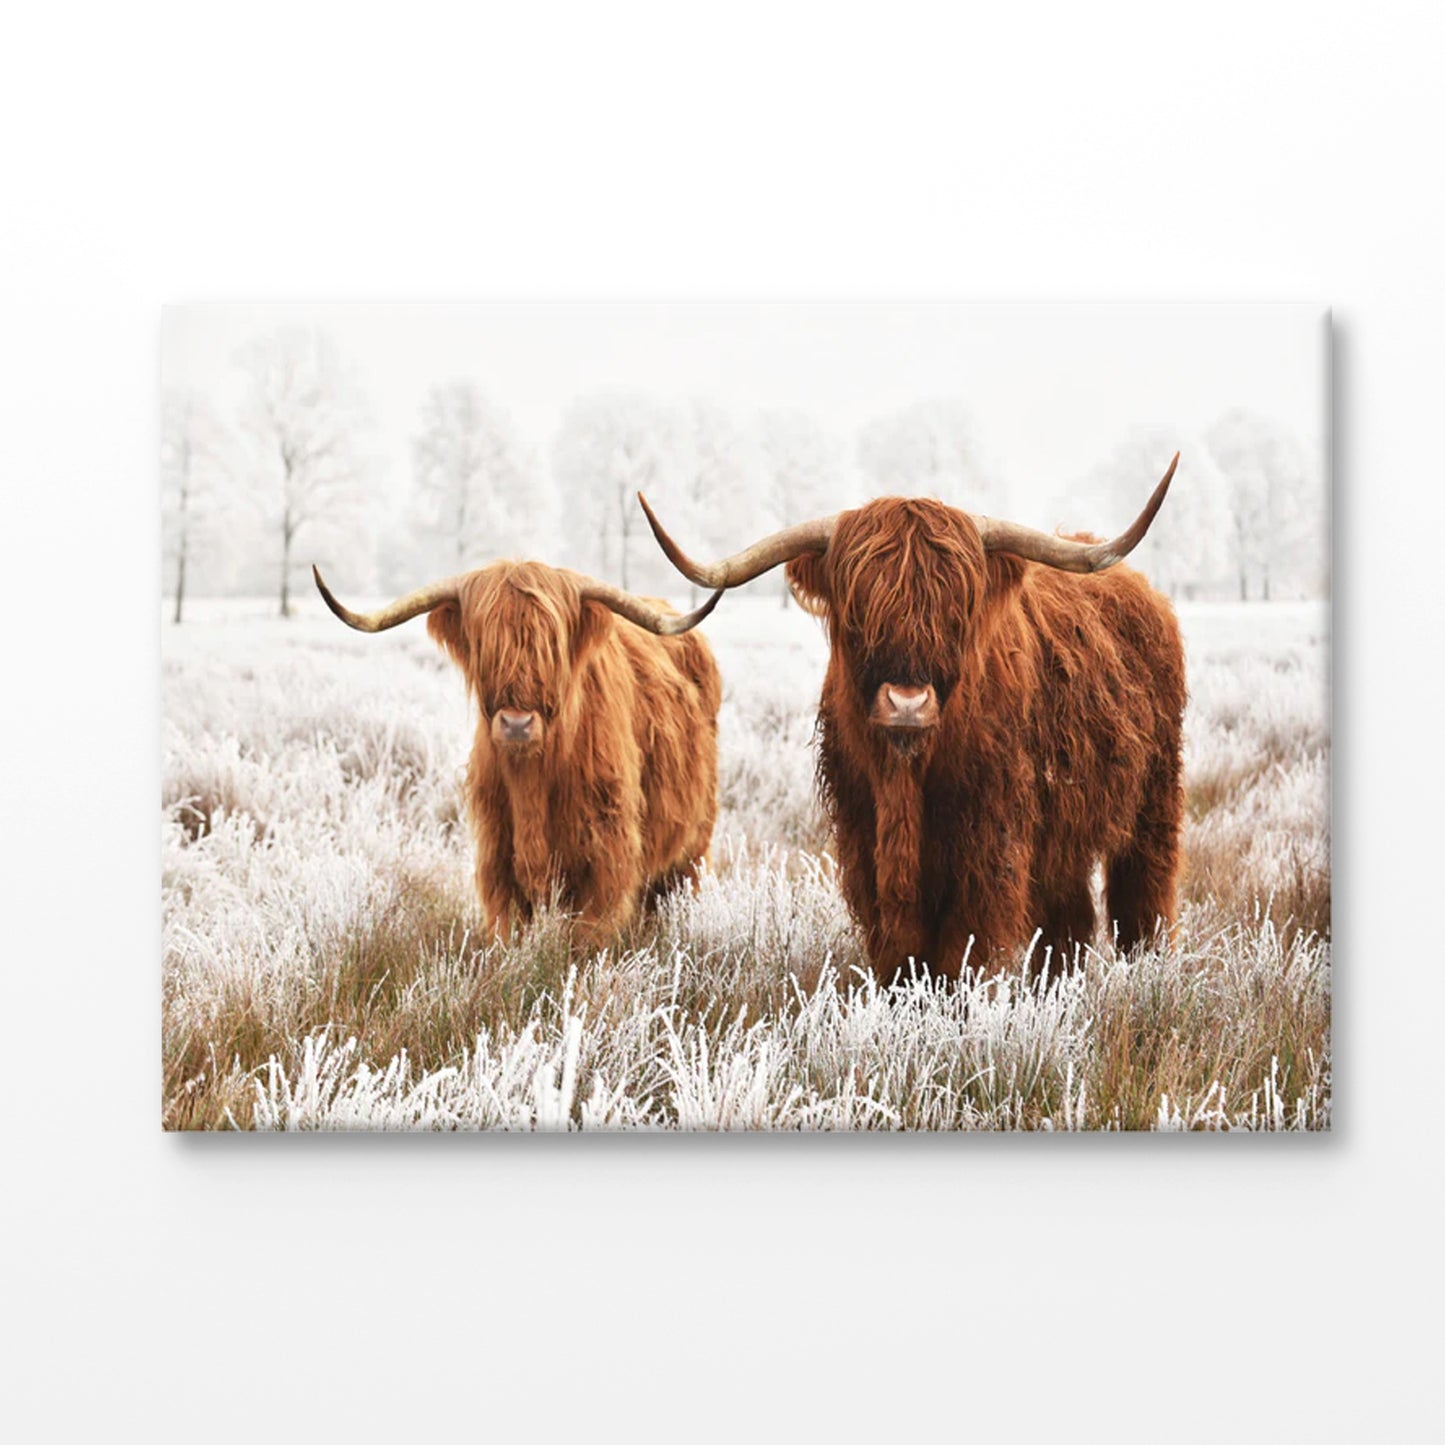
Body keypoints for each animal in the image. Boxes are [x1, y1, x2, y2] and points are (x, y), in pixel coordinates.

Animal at [313, 561, 724, 947]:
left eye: (552, 645)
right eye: (485, 643)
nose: (516, 724)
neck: (533, 779)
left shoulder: (607, 857)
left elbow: (588, 938)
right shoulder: (497, 857)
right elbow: (508, 933)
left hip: (693, 845)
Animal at [638, 456, 1186, 984]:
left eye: (956, 611)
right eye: (858, 611)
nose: (907, 703)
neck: (905, 779)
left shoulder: (990, 848)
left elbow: (963, 953)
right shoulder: (864, 843)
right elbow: (899, 954)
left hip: (1154, 801)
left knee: (1143, 897)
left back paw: (1147, 973)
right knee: (1068, 920)